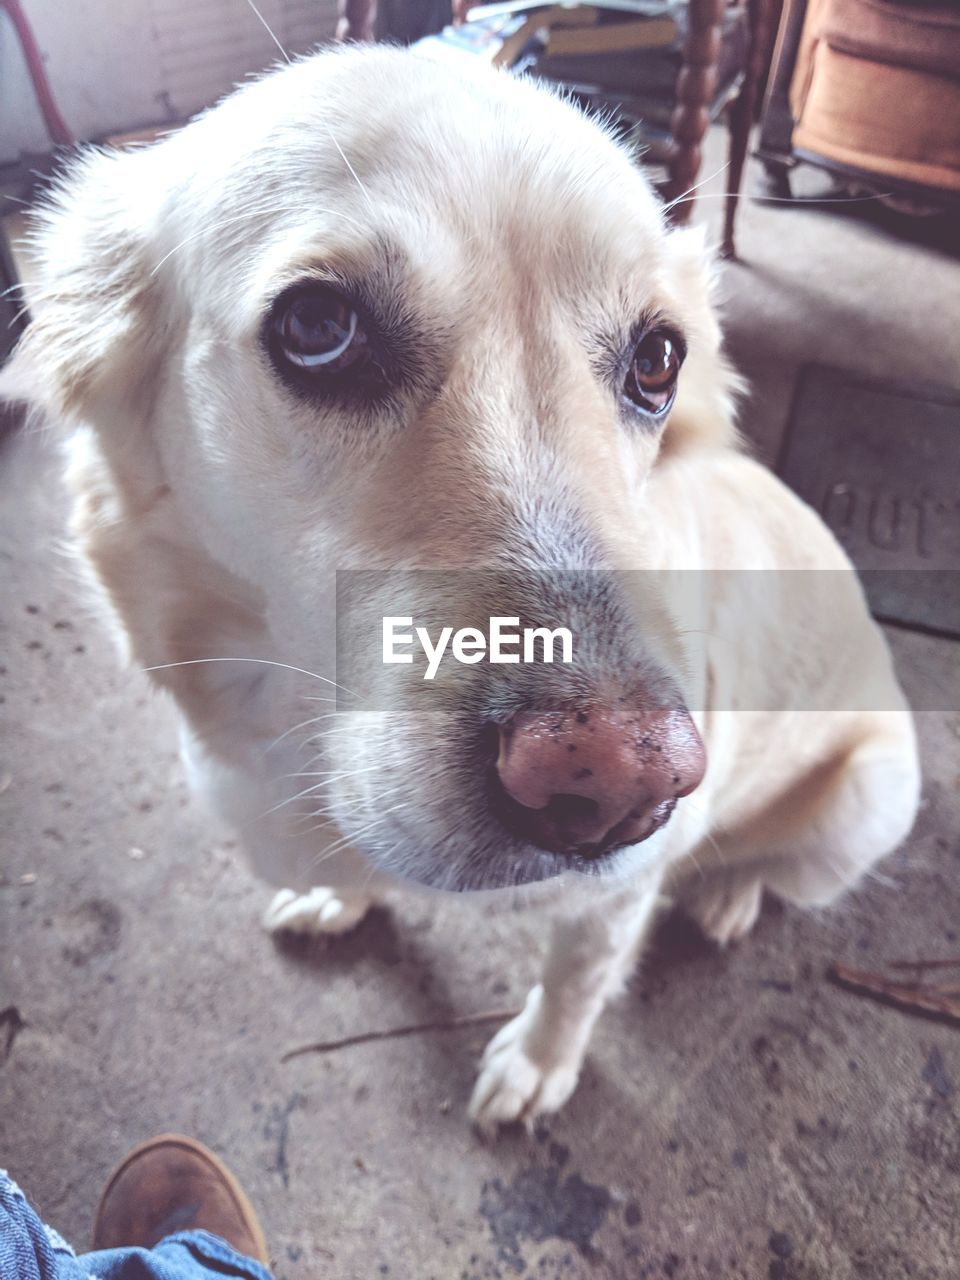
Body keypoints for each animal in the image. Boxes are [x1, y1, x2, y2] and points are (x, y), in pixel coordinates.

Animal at [11, 47, 921, 1131]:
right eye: (318, 326)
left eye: (659, 358)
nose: (617, 787)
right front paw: (341, 898)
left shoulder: (616, 897)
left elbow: (577, 977)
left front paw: (537, 1064)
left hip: (868, 799)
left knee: (773, 869)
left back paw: (729, 894)